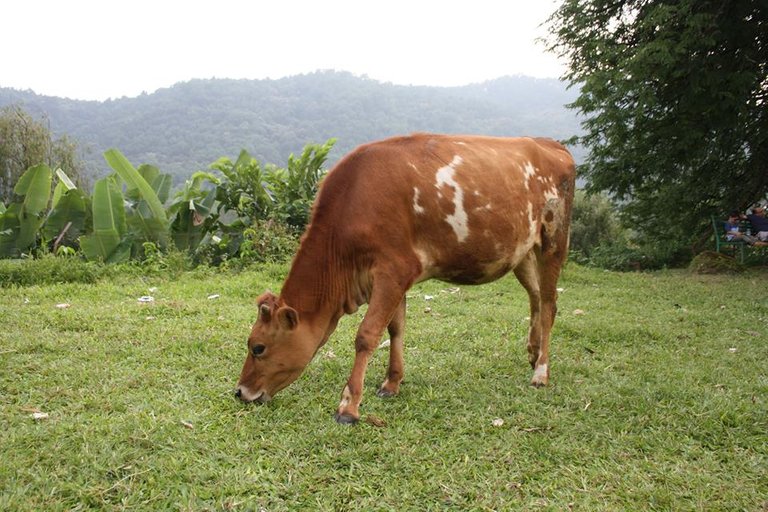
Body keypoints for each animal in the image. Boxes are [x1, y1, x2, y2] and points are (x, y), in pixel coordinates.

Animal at [237, 132, 572, 424]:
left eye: (258, 347)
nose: (239, 392)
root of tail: (548, 143)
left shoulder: (393, 270)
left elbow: (367, 335)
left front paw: (349, 405)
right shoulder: (395, 277)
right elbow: (395, 328)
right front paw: (392, 383)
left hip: (555, 238)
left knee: (549, 303)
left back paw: (541, 372)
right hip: (521, 250)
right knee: (535, 297)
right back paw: (532, 352)